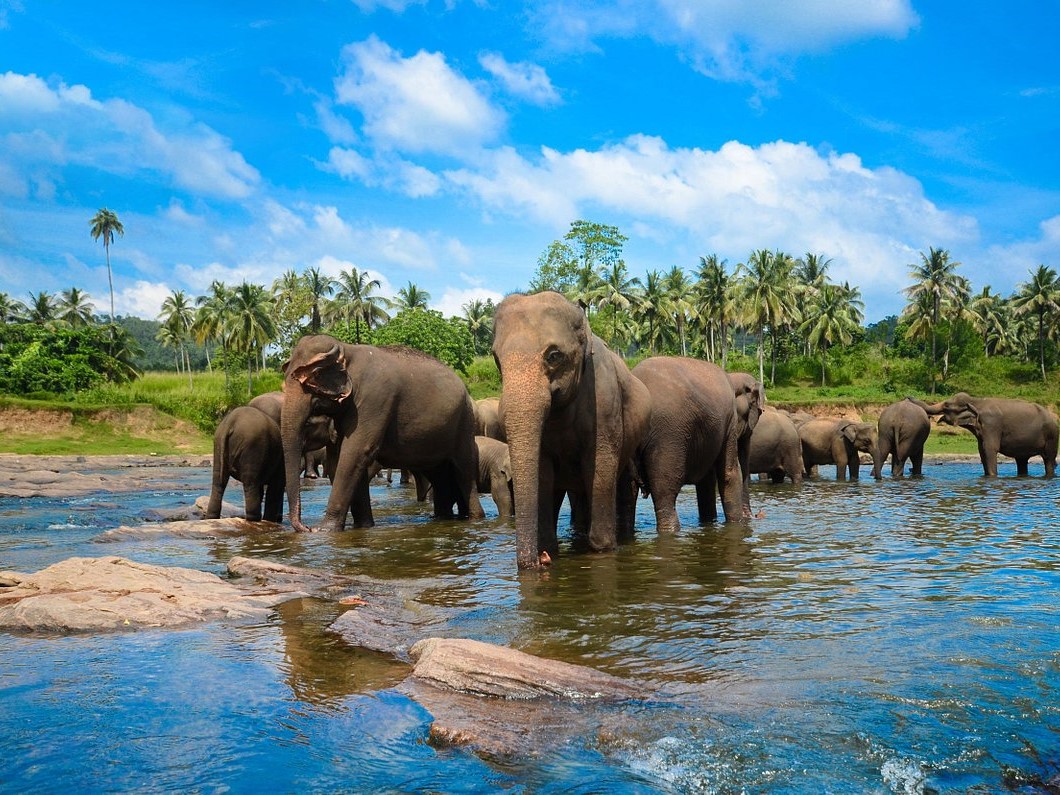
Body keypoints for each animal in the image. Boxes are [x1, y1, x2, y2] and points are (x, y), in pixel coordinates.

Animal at [280, 335, 484, 532]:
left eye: (313, 378)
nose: (305, 527)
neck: (346, 349)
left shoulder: (374, 399)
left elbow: (355, 452)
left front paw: (324, 530)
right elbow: (341, 459)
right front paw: (363, 526)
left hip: (464, 423)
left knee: (463, 471)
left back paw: (475, 518)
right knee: (440, 476)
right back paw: (443, 518)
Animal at [492, 291, 651, 569]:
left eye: (554, 356)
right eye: (496, 359)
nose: (541, 560)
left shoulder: (604, 401)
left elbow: (600, 467)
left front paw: (602, 550)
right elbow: (543, 474)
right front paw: (549, 549)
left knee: (623, 484)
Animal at [907, 393, 1058, 477]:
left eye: (947, 407)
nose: (907, 396)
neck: (976, 401)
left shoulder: (992, 426)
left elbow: (989, 449)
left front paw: (992, 477)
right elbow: (981, 450)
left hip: (1052, 436)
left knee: (1049, 460)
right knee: (1021, 461)